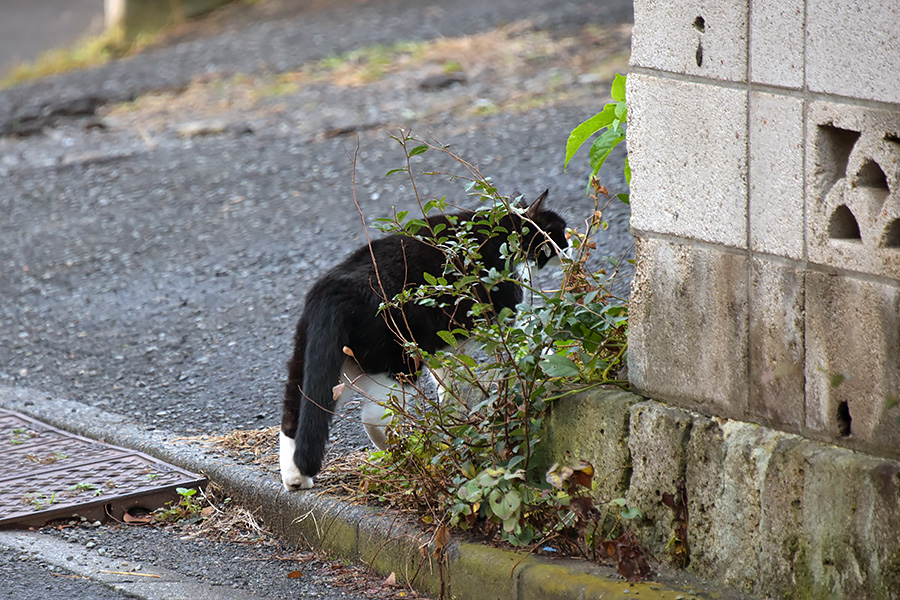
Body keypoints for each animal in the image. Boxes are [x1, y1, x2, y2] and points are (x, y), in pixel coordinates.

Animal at [278, 192, 568, 492]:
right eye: (559, 232)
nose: (569, 249)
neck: (501, 227)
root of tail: (331, 290)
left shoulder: (446, 341)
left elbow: (450, 377)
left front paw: (454, 412)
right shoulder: (502, 309)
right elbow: (520, 339)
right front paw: (545, 354)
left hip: (322, 362)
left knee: (293, 416)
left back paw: (296, 479)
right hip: (399, 361)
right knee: (374, 416)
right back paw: (409, 455)